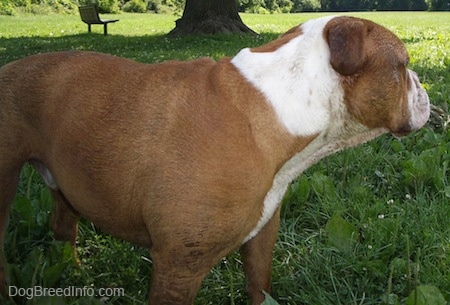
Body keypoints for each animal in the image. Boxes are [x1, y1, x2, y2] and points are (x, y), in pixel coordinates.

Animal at [0, 15, 428, 302]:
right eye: (404, 66)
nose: (422, 85)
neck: (280, 105)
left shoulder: (261, 235)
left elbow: (258, 285)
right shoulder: (178, 265)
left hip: (65, 182)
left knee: (63, 225)